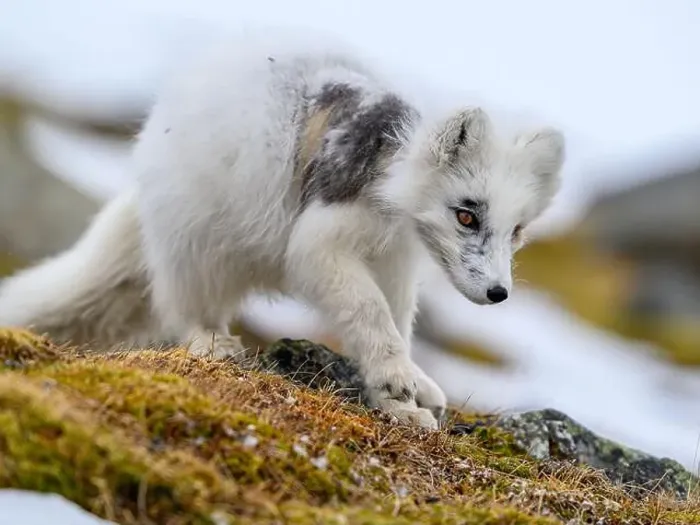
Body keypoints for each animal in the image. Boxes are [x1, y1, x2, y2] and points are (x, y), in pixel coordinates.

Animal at [0, 27, 565, 429]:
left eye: (517, 231)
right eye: (466, 214)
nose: (498, 293)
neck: (388, 176)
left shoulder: (397, 264)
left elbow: (394, 323)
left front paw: (402, 399)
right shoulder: (320, 243)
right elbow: (369, 312)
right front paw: (397, 377)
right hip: (198, 242)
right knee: (182, 305)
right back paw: (213, 342)